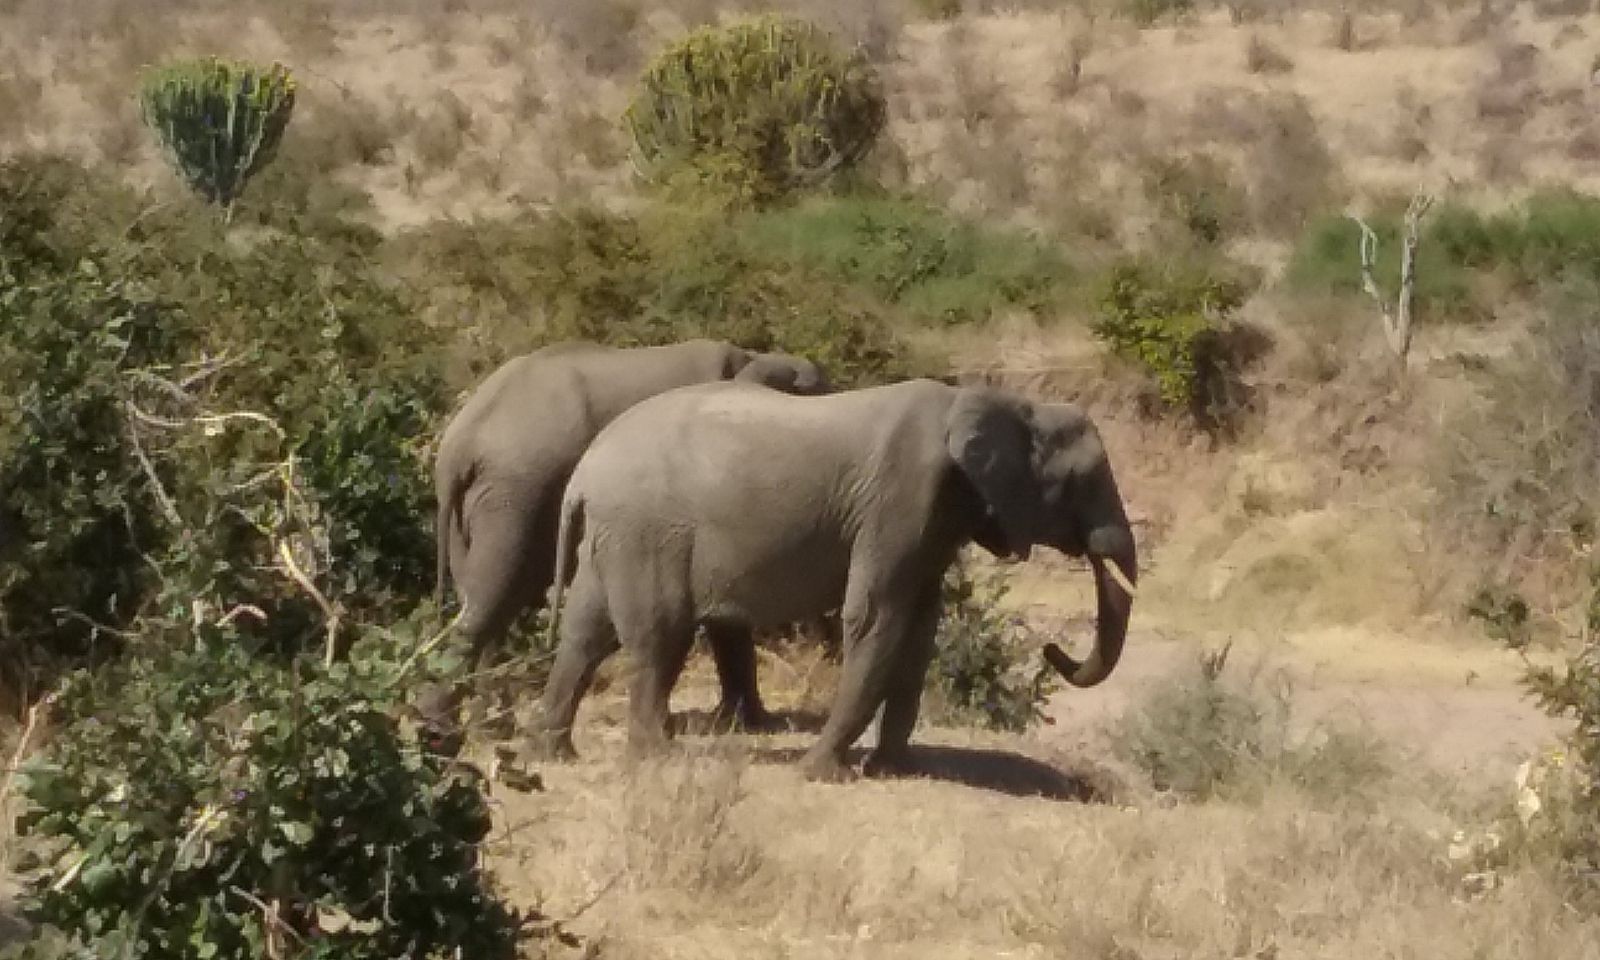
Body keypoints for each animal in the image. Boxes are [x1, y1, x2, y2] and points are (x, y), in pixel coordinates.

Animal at [427, 338, 831, 735]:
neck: (755, 357)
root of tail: (457, 447)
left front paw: (745, 723)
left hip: (479, 508)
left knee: (487, 602)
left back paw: (481, 727)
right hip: (516, 495)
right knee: (491, 599)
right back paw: (449, 729)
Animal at [530, 376, 1138, 782]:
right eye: (1082, 481)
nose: (1053, 649)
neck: (992, 401)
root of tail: (583, 473)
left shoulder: (935, 520)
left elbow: (919, 629)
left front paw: (893, 770)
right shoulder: (900, 499)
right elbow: (876, 618)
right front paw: (823, 773)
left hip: (615, 534)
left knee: (585, 632)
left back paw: (555, 753)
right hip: (648, 532)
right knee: (660, 635)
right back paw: (657, 757)